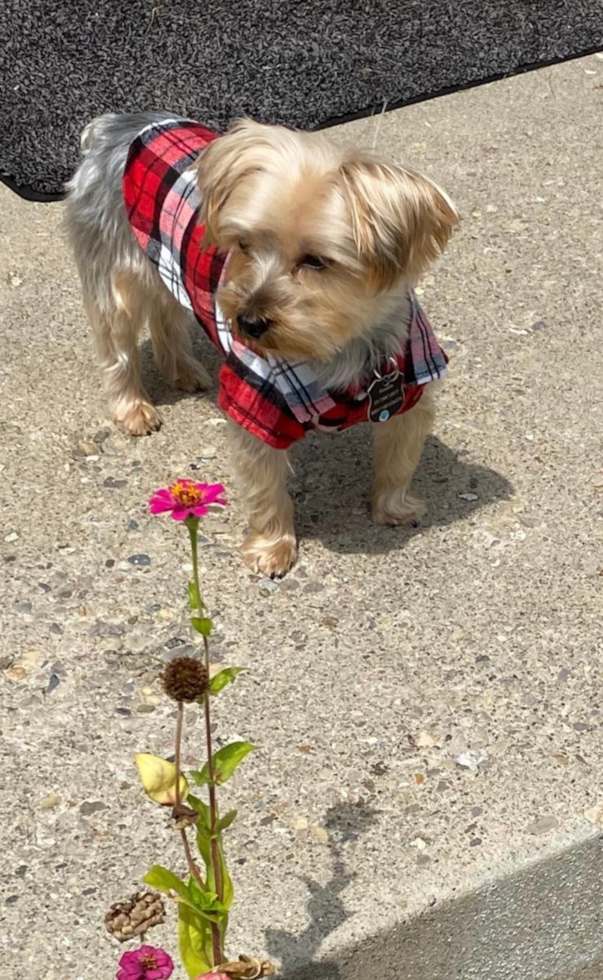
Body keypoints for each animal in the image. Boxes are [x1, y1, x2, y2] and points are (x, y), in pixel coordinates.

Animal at [65, 112, 458, 580]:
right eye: (243, 245)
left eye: (316, 261)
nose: (248, 322)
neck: (337, 345)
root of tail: (117, 124)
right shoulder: (254, 399)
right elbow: (265, 485)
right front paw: (273, 548)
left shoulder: (410, 382)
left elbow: (400, 457)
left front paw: (393, 508)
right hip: (115, 261)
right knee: (118, 340)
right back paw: (133, 408)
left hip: (165, 263)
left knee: (166, 311)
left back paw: (183, 372)